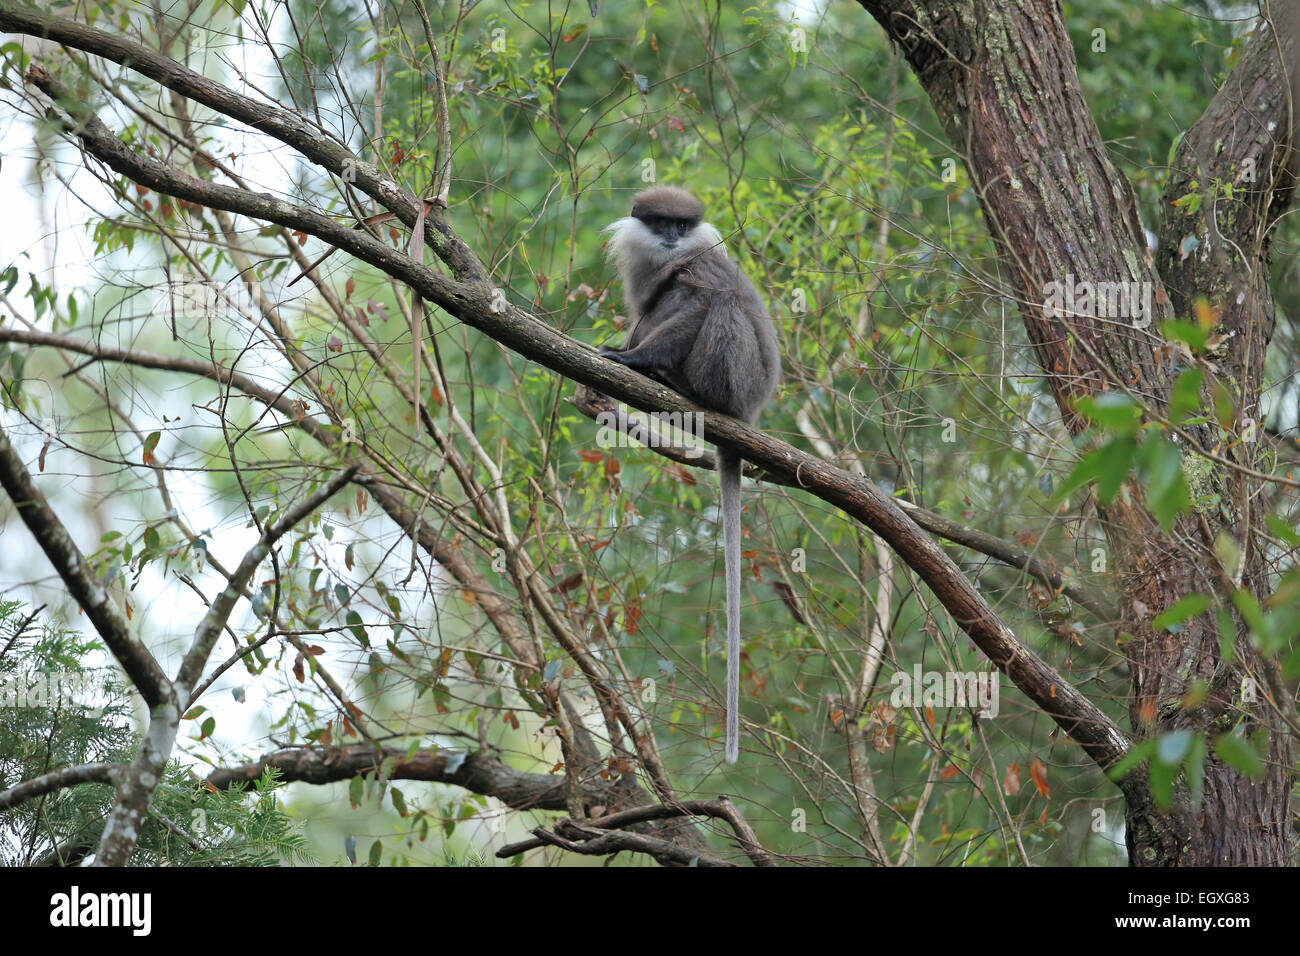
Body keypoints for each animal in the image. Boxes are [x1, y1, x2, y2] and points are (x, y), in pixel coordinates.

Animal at [600, 184, 774, 764]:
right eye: (661, 223)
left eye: (682, 224)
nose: (673, 239)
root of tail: (749, 412)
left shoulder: (702, 265)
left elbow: (700, 300)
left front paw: (632, 360)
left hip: (737, 377)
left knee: (715, 304)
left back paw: (677, 381)